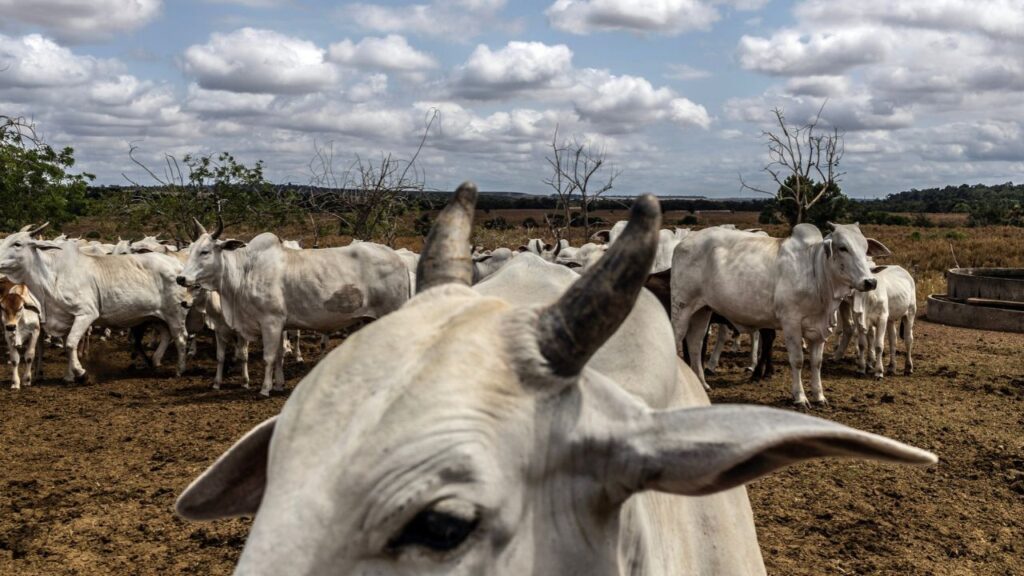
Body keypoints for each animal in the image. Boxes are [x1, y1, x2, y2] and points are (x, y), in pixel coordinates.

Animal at [0, 224, 190, 383]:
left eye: (17, 243)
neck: (53, 276)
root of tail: (178, 265)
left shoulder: (86, 314)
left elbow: (70, 344)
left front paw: (81, 373)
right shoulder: (65, 318)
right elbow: (69, 346)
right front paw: (69, 376)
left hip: (176, 313)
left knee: (180, 338)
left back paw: (179, 370)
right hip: (156, 317)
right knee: (166, 335)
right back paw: (156, 361)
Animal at [176, 219, 411, 397]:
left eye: (205, 251)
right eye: (190, 250)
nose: (181, 278)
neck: (246, 271)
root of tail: (400, 260)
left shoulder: (270, 322)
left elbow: (269, 357)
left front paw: (265, 389)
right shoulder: (281, 324)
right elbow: (280, 355)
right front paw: (279, 384)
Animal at [671, 222, 892, 406]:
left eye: (865, 248)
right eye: (843, 248)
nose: (870, 281)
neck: (816, 273)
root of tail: (682, 243)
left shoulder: (818, 330)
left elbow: (816, 363)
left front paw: (819, 396)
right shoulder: (791, 323)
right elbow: (798, 360)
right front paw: (800, 397)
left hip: (702, 311)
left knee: (695, 344)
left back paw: (702, 384)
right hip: (681, 307)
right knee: (677, 341)